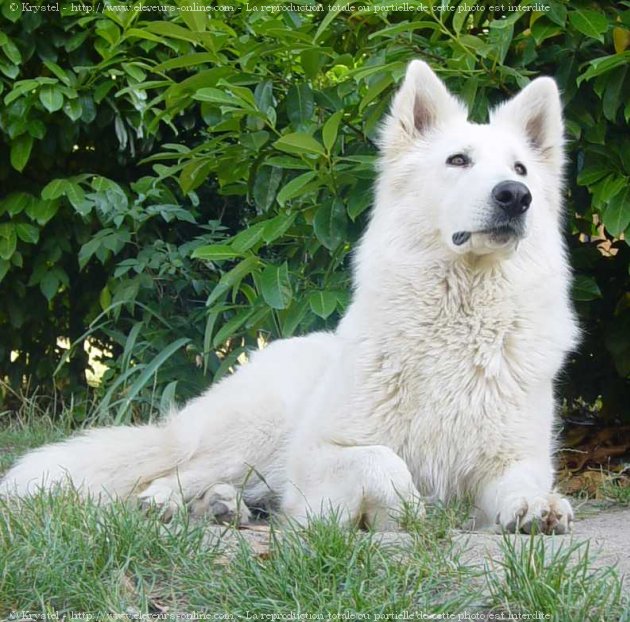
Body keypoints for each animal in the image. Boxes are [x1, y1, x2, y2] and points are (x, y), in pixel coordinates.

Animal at [1, 63, 584, 536]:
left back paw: (226, 507)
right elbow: (385, 464)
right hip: (253, 435)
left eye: (521, 170)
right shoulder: (319, 456)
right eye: (458, 160)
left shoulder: (513, 458)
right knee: (178, 470)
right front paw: (403, 511)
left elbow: (522, 483)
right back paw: (166, 502)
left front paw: (537, 506)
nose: (515, 196)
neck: (460, 317)